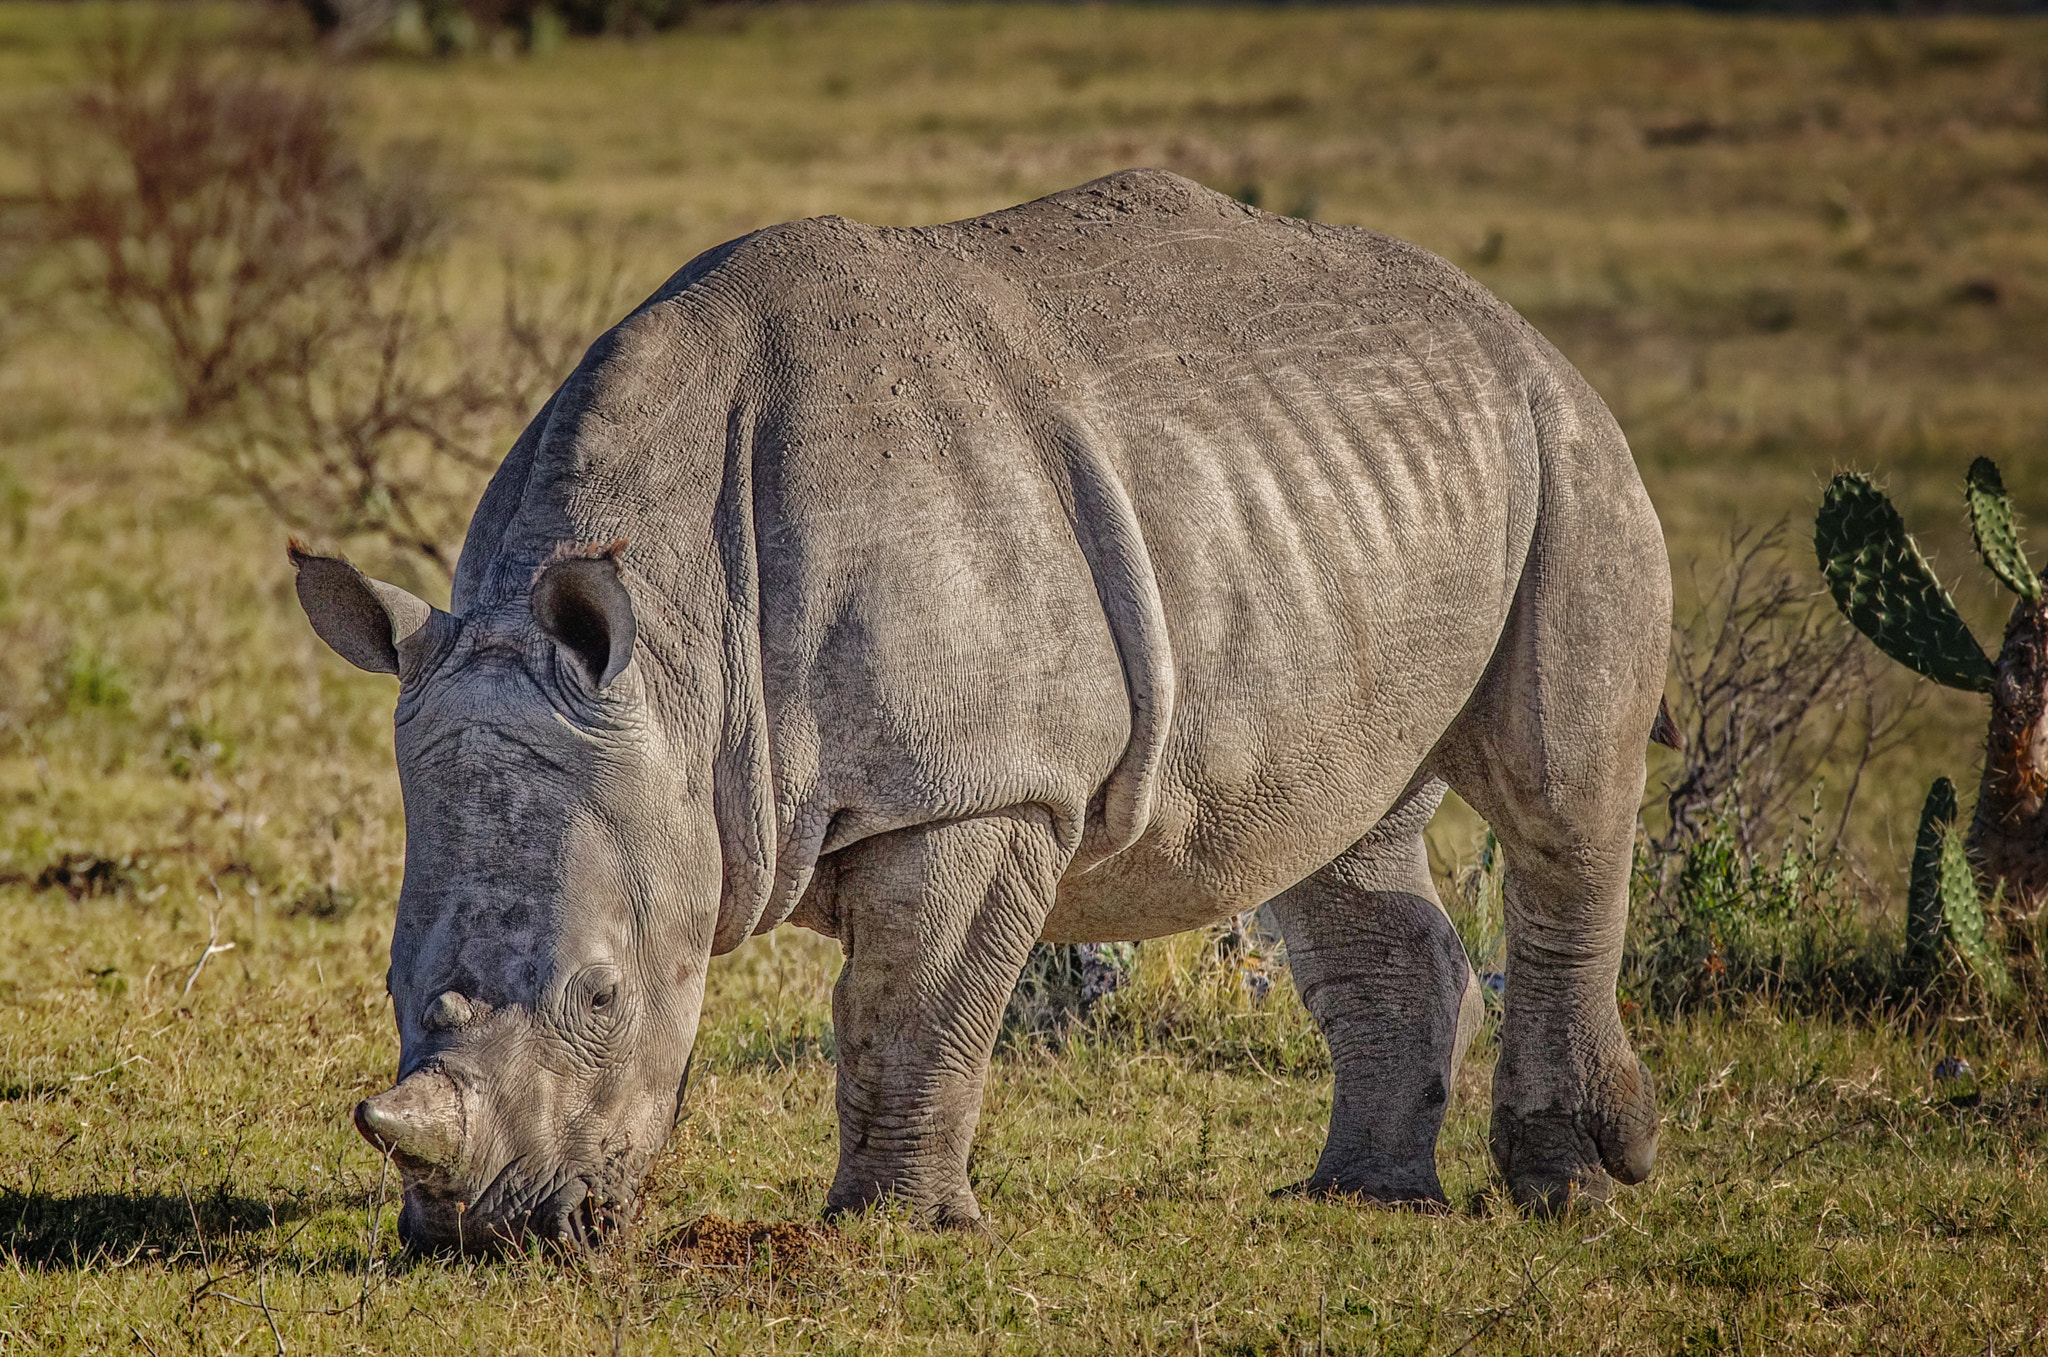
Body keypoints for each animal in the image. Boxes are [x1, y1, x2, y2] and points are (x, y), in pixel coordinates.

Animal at [292, 166, 1662, 1252]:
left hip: (1562, 443)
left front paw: (894, 1230)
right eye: (391, 983)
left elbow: (907, 1006)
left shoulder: (981, 784)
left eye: (601, 997)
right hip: (1359, 497)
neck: (682, 669)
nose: (488, 1235)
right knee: (1338, 824)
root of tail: (1505, 322)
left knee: (1558, 804)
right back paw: (1358, 1201)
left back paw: (1577, 1190)